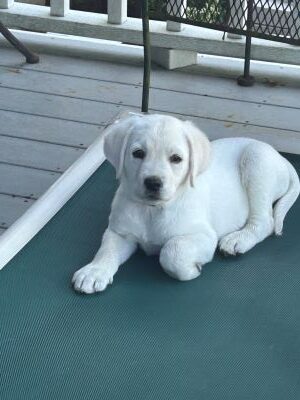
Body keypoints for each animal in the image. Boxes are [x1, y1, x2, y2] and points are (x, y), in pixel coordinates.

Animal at [71, 114, 298, 292]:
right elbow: (106, 250)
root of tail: (281, 158)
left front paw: (190, 269)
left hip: (256, 163)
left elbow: (172, 250)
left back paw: (238, 240)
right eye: (138, 154)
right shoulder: (120, 232)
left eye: (176, 158)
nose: (153, 182)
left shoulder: (204, 236)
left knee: (265, 221)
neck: (152, 211)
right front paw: (95, 271)